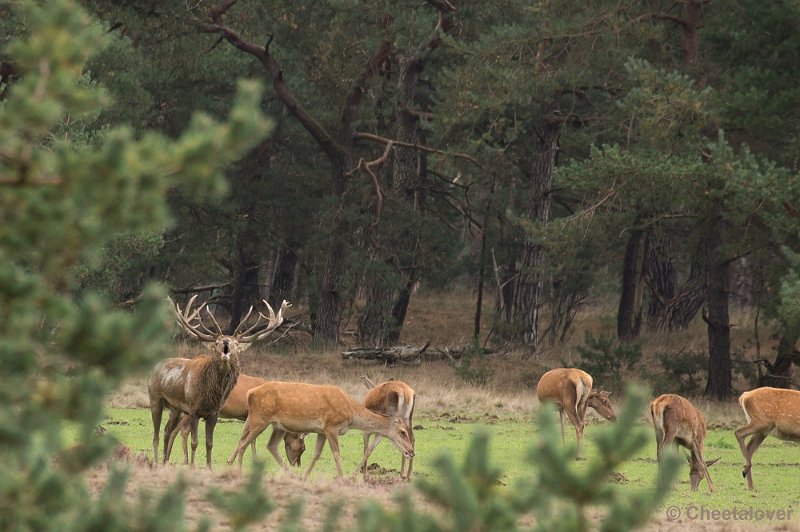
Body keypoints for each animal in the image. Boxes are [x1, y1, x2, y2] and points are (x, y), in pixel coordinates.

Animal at [148, 298, 290, 468]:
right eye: (216, 342)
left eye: (236, 344)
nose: (226, 341)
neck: (210, 394)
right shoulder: (193, 409)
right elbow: (195, 442)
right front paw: (193, 466)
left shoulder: (214, 412)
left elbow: (210, 443)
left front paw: (209, 467)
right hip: (155, 399)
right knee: (157, 434)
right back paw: (158, 461)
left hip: (175, 408)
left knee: (167, 431)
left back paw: (165, 461)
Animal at [166, 372, 306, 468]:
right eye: (301, 448)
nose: (297, 465)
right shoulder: (252, 414)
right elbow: (250, 439)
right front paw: (235, 460)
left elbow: (246, 437)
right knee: (183, 431)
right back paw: (184, 459)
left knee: (174, 430)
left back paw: (168, 457)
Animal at [225, 380, 412, 480]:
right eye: (403, 432)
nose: (411, 451)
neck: (350, 413)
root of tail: (250, 392)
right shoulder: (331, 426)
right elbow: (336, 453)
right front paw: (341, 478)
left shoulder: (321, 431)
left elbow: (316, 454)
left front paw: (305, 476)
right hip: (260, 419)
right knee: (244, 443)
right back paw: (239, 471)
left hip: (276, 425)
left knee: (269, 445)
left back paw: (292, 475)